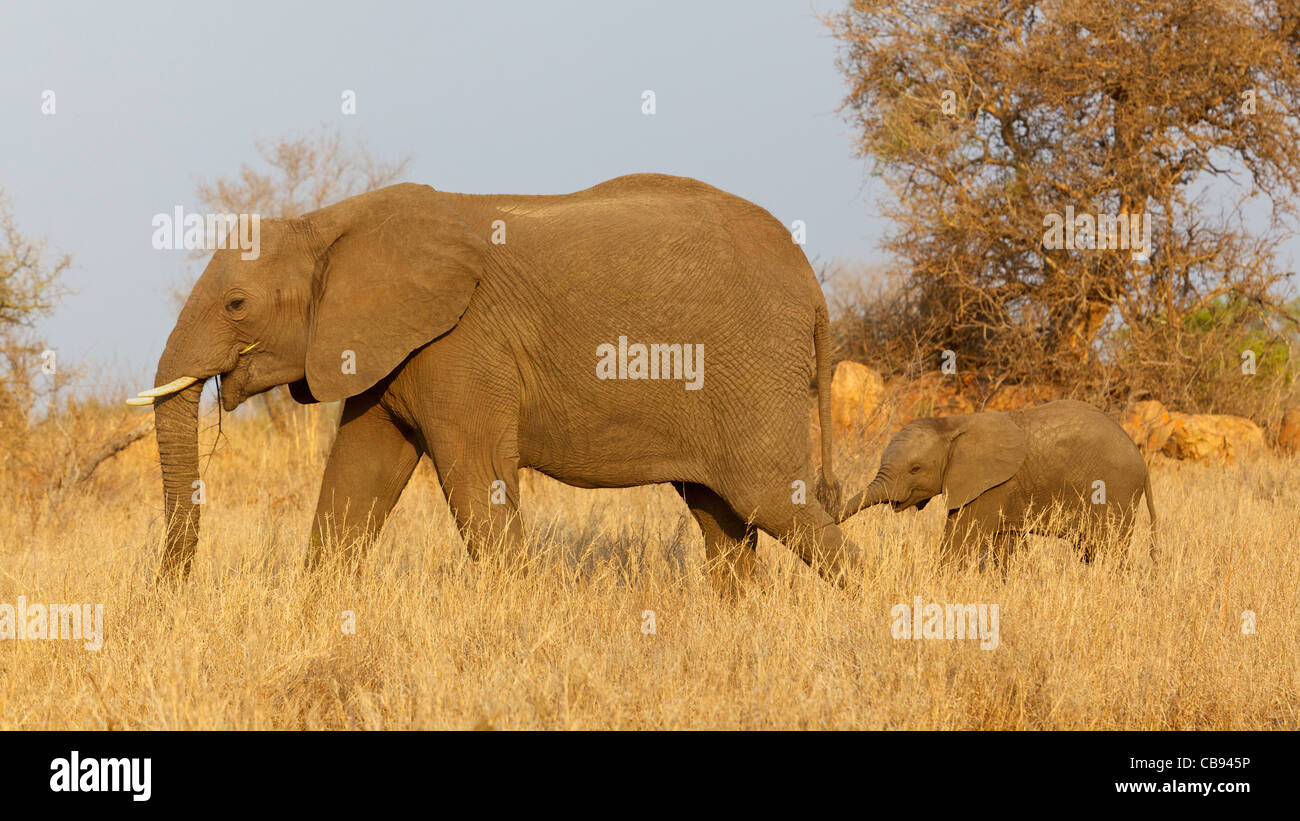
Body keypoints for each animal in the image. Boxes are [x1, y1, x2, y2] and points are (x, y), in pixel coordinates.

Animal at [131, 175, 857, 589]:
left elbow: (477, 480)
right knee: (723, 518)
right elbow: (357, 477)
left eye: (236, 305)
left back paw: (864, 617)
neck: (328, 222)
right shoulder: (386, 348)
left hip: (754, 365)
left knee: (772, 497)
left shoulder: (461, 344)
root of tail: (813, 286)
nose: (170, 593)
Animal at [842, 400, 1159, 566]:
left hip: (1115, 491)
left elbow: (960, 541)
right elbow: (1004, 544)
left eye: (915, 469)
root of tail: (1143, 463)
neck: (953, 424)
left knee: (1108, 549)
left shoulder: (990, 487)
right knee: (1090, 550)